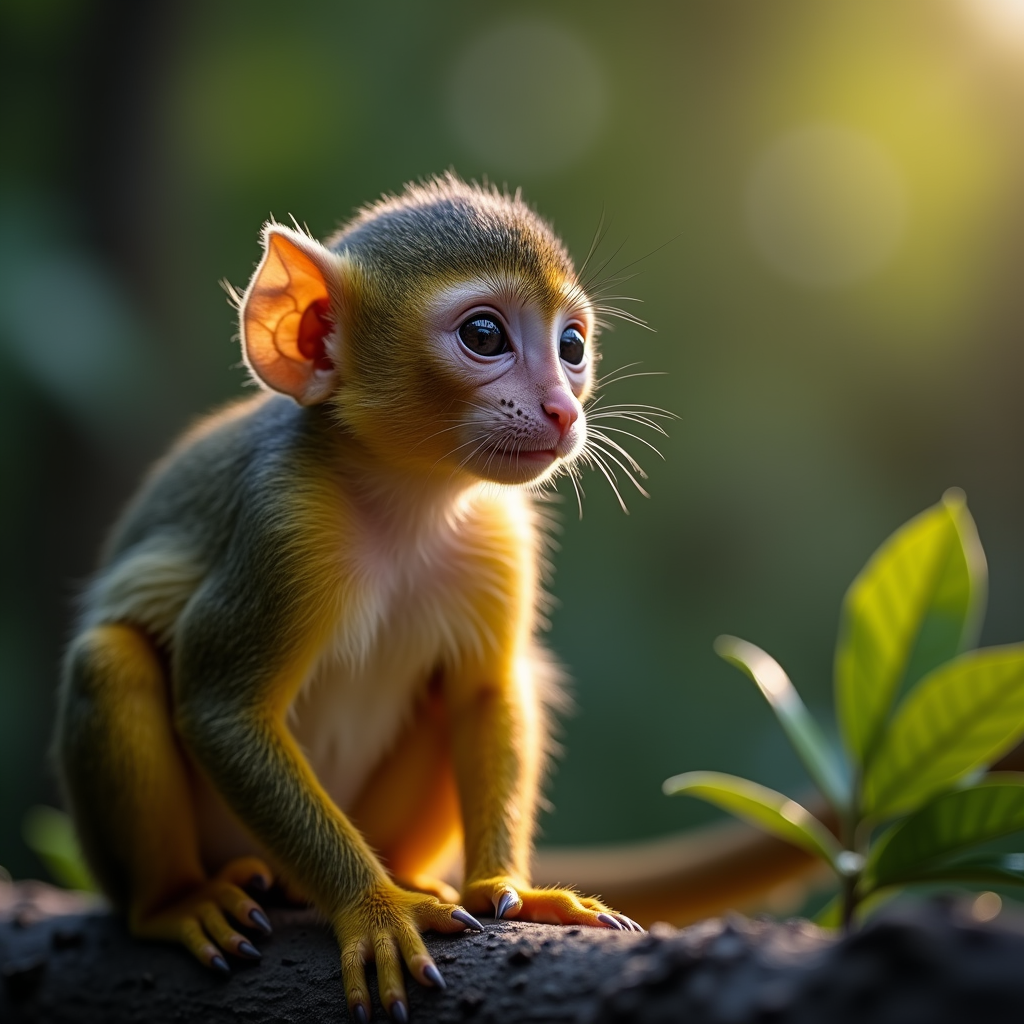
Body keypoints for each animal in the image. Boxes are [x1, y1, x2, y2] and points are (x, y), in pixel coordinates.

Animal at [54, 174, 657, 1024]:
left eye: (572, 347)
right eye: (485, 334)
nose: (562, 408)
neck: (410, 498)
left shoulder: (501, 535)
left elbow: (484, 693)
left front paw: (504, 887)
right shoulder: (284, 524)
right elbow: (221, 708)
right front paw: (372, 909)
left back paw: (414, 874)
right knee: (110, 660)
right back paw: (174, 902)